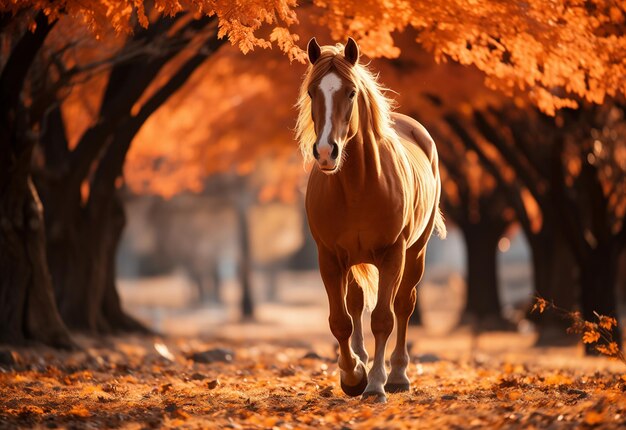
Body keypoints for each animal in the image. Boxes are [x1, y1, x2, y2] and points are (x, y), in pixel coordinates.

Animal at [296, 37, 446, 404]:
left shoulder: (393, 254)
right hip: (353, 261)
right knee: (354, 305)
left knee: (404, 306)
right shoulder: (329, 258)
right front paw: (352, 376)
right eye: (312, 92)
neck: (358, 185)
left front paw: (376, 383)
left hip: (415, 254)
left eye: (351, 92)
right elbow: (341, 320)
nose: (326, 152)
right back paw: (361, 361)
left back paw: (398, 376)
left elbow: (383, 319)